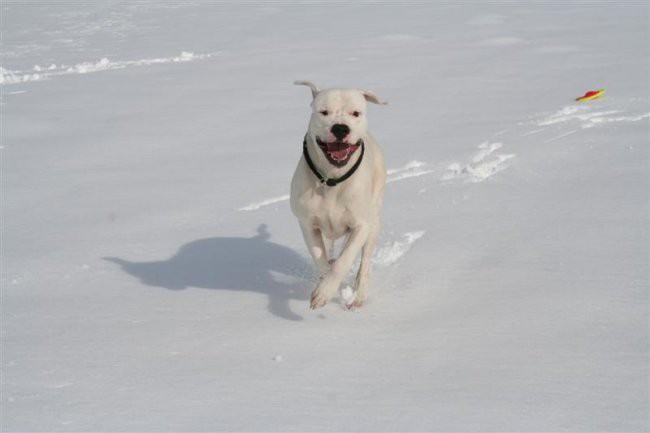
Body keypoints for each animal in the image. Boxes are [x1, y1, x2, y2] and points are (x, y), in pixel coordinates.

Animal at [292, 81, 388, 308]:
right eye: (324, 112)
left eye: (356, 113)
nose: (340, 128)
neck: (332, 180)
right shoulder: (308, 225)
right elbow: (321, 260)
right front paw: (323, 286)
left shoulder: (361, 225)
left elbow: (344, 261)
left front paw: (325, 291)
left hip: (374, 222)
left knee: (364, 263)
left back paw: (358, 297)